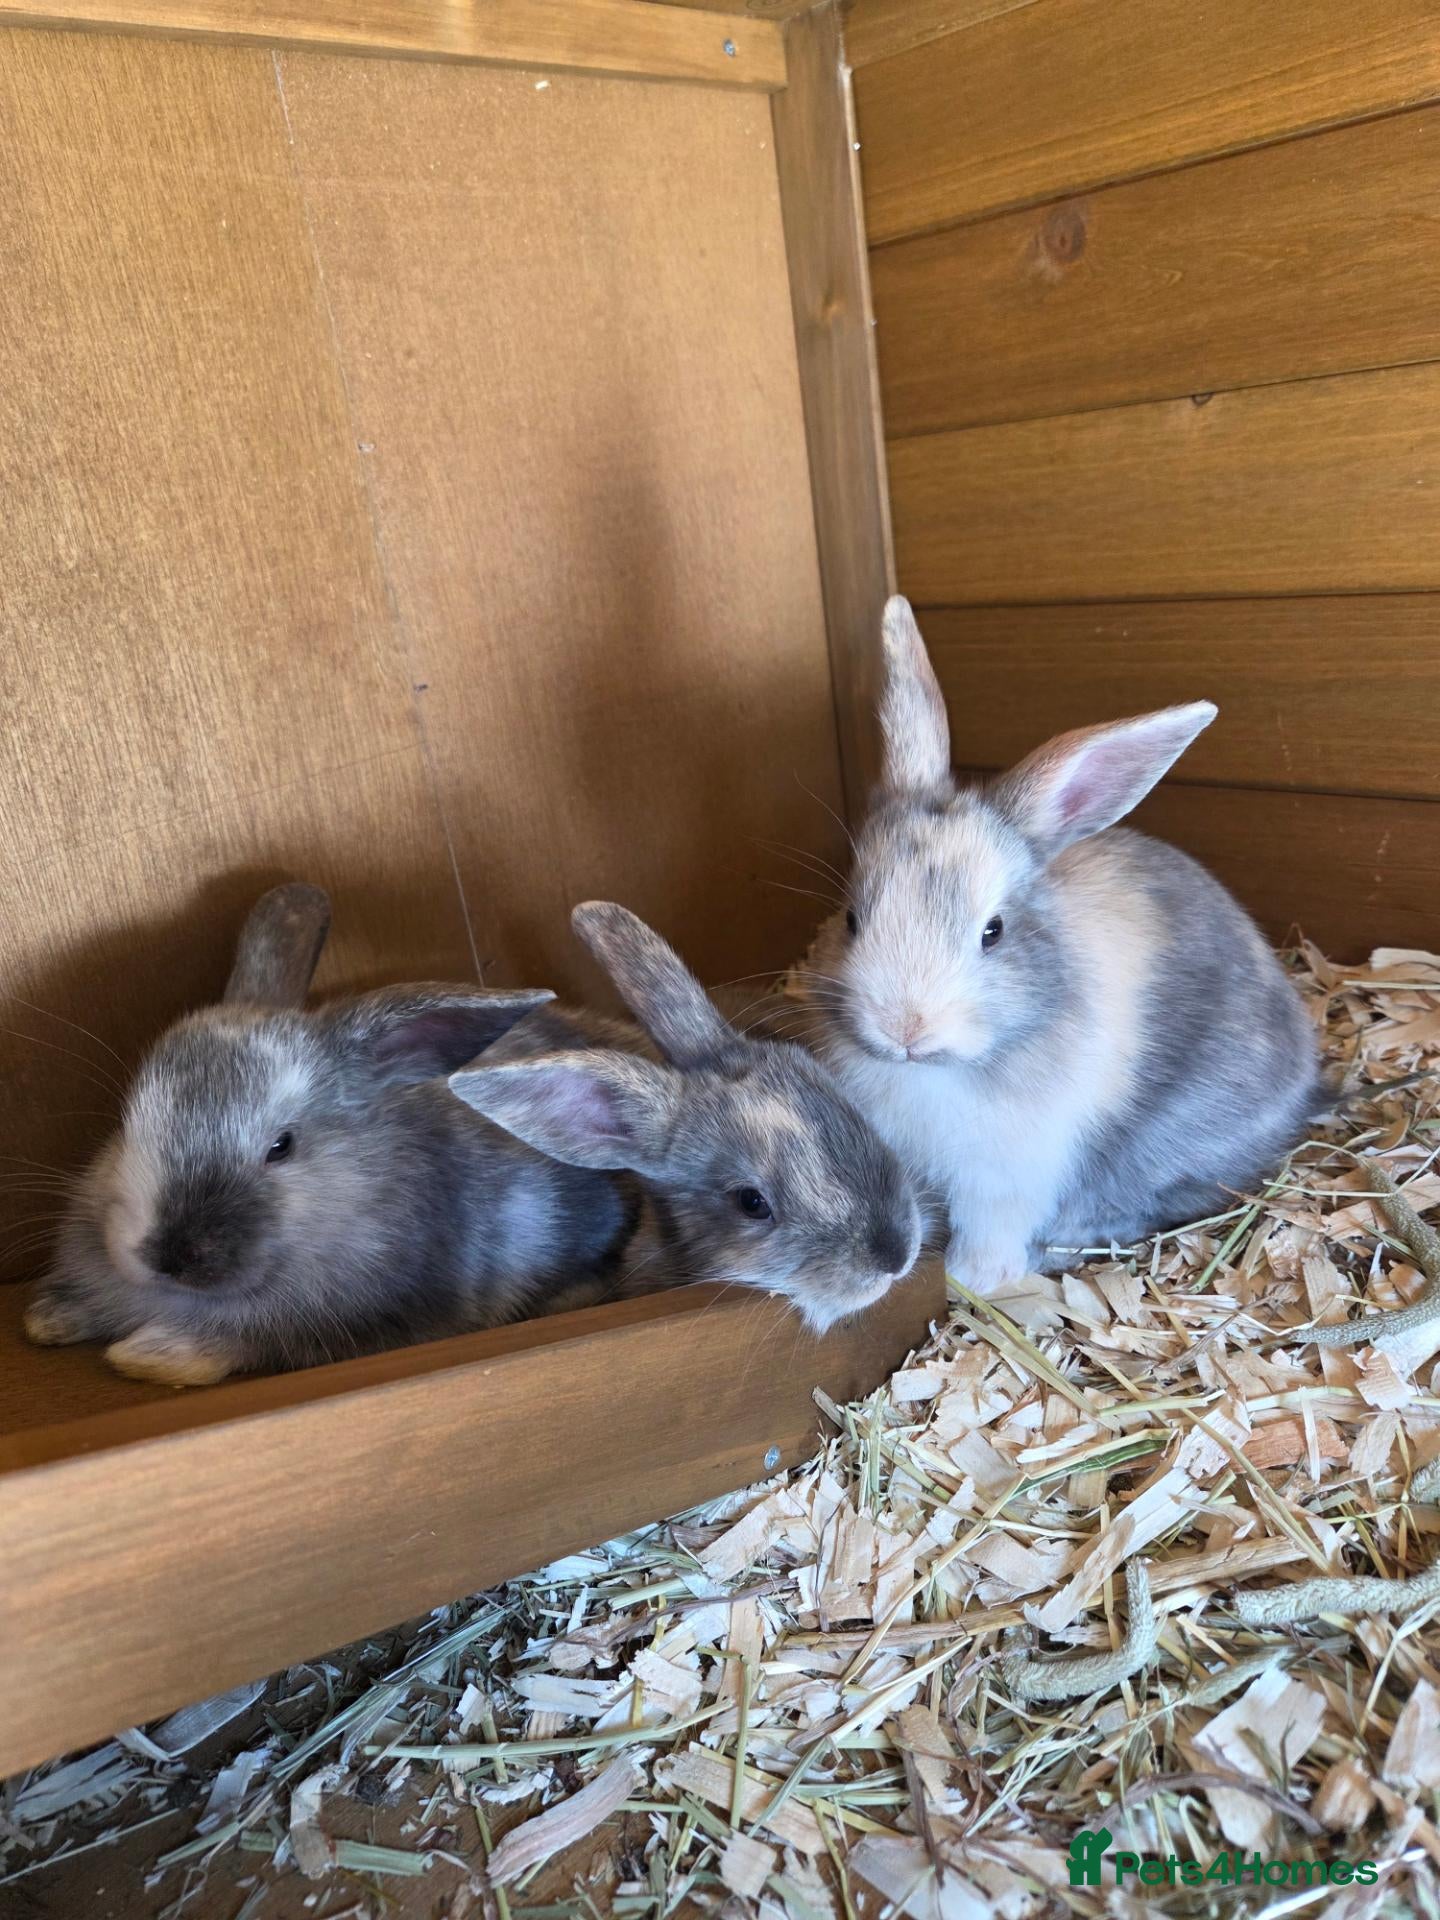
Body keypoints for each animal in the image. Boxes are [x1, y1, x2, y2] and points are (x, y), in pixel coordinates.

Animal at [23, 884, 637, 1386]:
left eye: (281, 1146)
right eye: (127, 1121)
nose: (171, 1255)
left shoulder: (353, 1323)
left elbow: (247, 1342)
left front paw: (151, 1354)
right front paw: (46, 1318)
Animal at [783, 597, 1324, 1294]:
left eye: (993, 932)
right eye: (852, 918)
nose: (905, 1029)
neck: (939, 1073)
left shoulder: (1010, 1177)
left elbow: (993, 1230)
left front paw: (972, 1280)